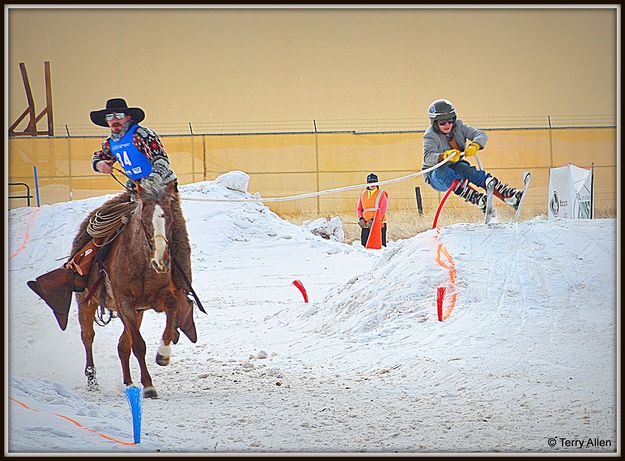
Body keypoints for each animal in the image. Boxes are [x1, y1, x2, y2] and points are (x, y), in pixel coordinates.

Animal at [76, 178, 196, 398]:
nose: (161, 262)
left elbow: (173, 305)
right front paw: (148, 386)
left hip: (137, 312)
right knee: (88, 337)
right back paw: (92, 380)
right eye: (144, 221)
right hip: (87, 303)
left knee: (122, 345)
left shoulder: (159, 297)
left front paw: (163, 355)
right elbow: (139, 345)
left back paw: (129, 383)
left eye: (170, 221)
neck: (140, 264)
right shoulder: (125, 303)